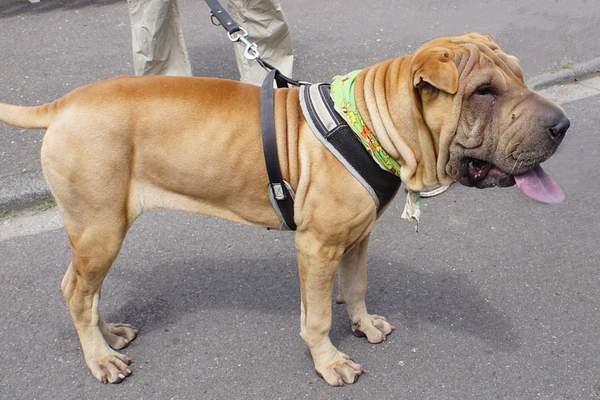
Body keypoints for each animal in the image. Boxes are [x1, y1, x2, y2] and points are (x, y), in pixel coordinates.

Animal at [0, 33, 568, 384]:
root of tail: (64, 105)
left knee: (85, 290)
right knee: (75, 291)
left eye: (519, 76)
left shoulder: (357, 237)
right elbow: (316, 316)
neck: (375, 121)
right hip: (100, 227)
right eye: (484, 91)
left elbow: (356, 287)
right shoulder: (317, 247)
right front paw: (329, 361)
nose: (563, 125)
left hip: (99, 229)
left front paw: (363, 324)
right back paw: (101, 358)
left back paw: (110, 335)